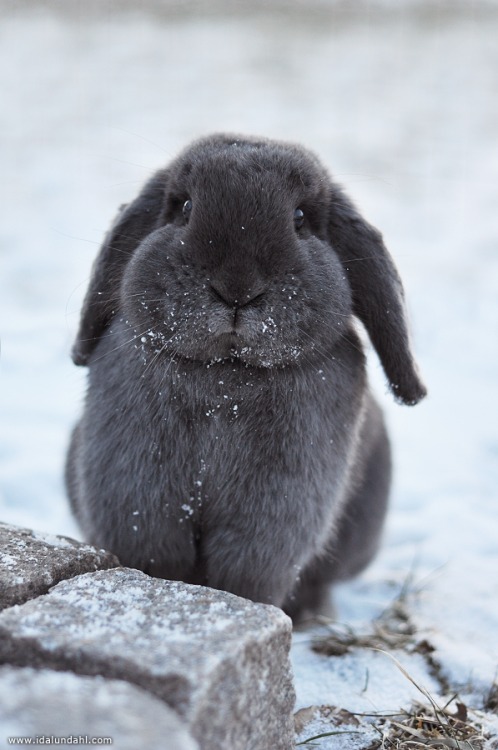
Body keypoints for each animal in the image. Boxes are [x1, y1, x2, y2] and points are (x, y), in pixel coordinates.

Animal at [66, 133, 426, 623]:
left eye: (300, 219)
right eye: (184, 207)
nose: (236, 288)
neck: (225, 376)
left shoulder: (273, 520)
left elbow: (245, 578)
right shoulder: (138, 497)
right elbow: (155, 560)